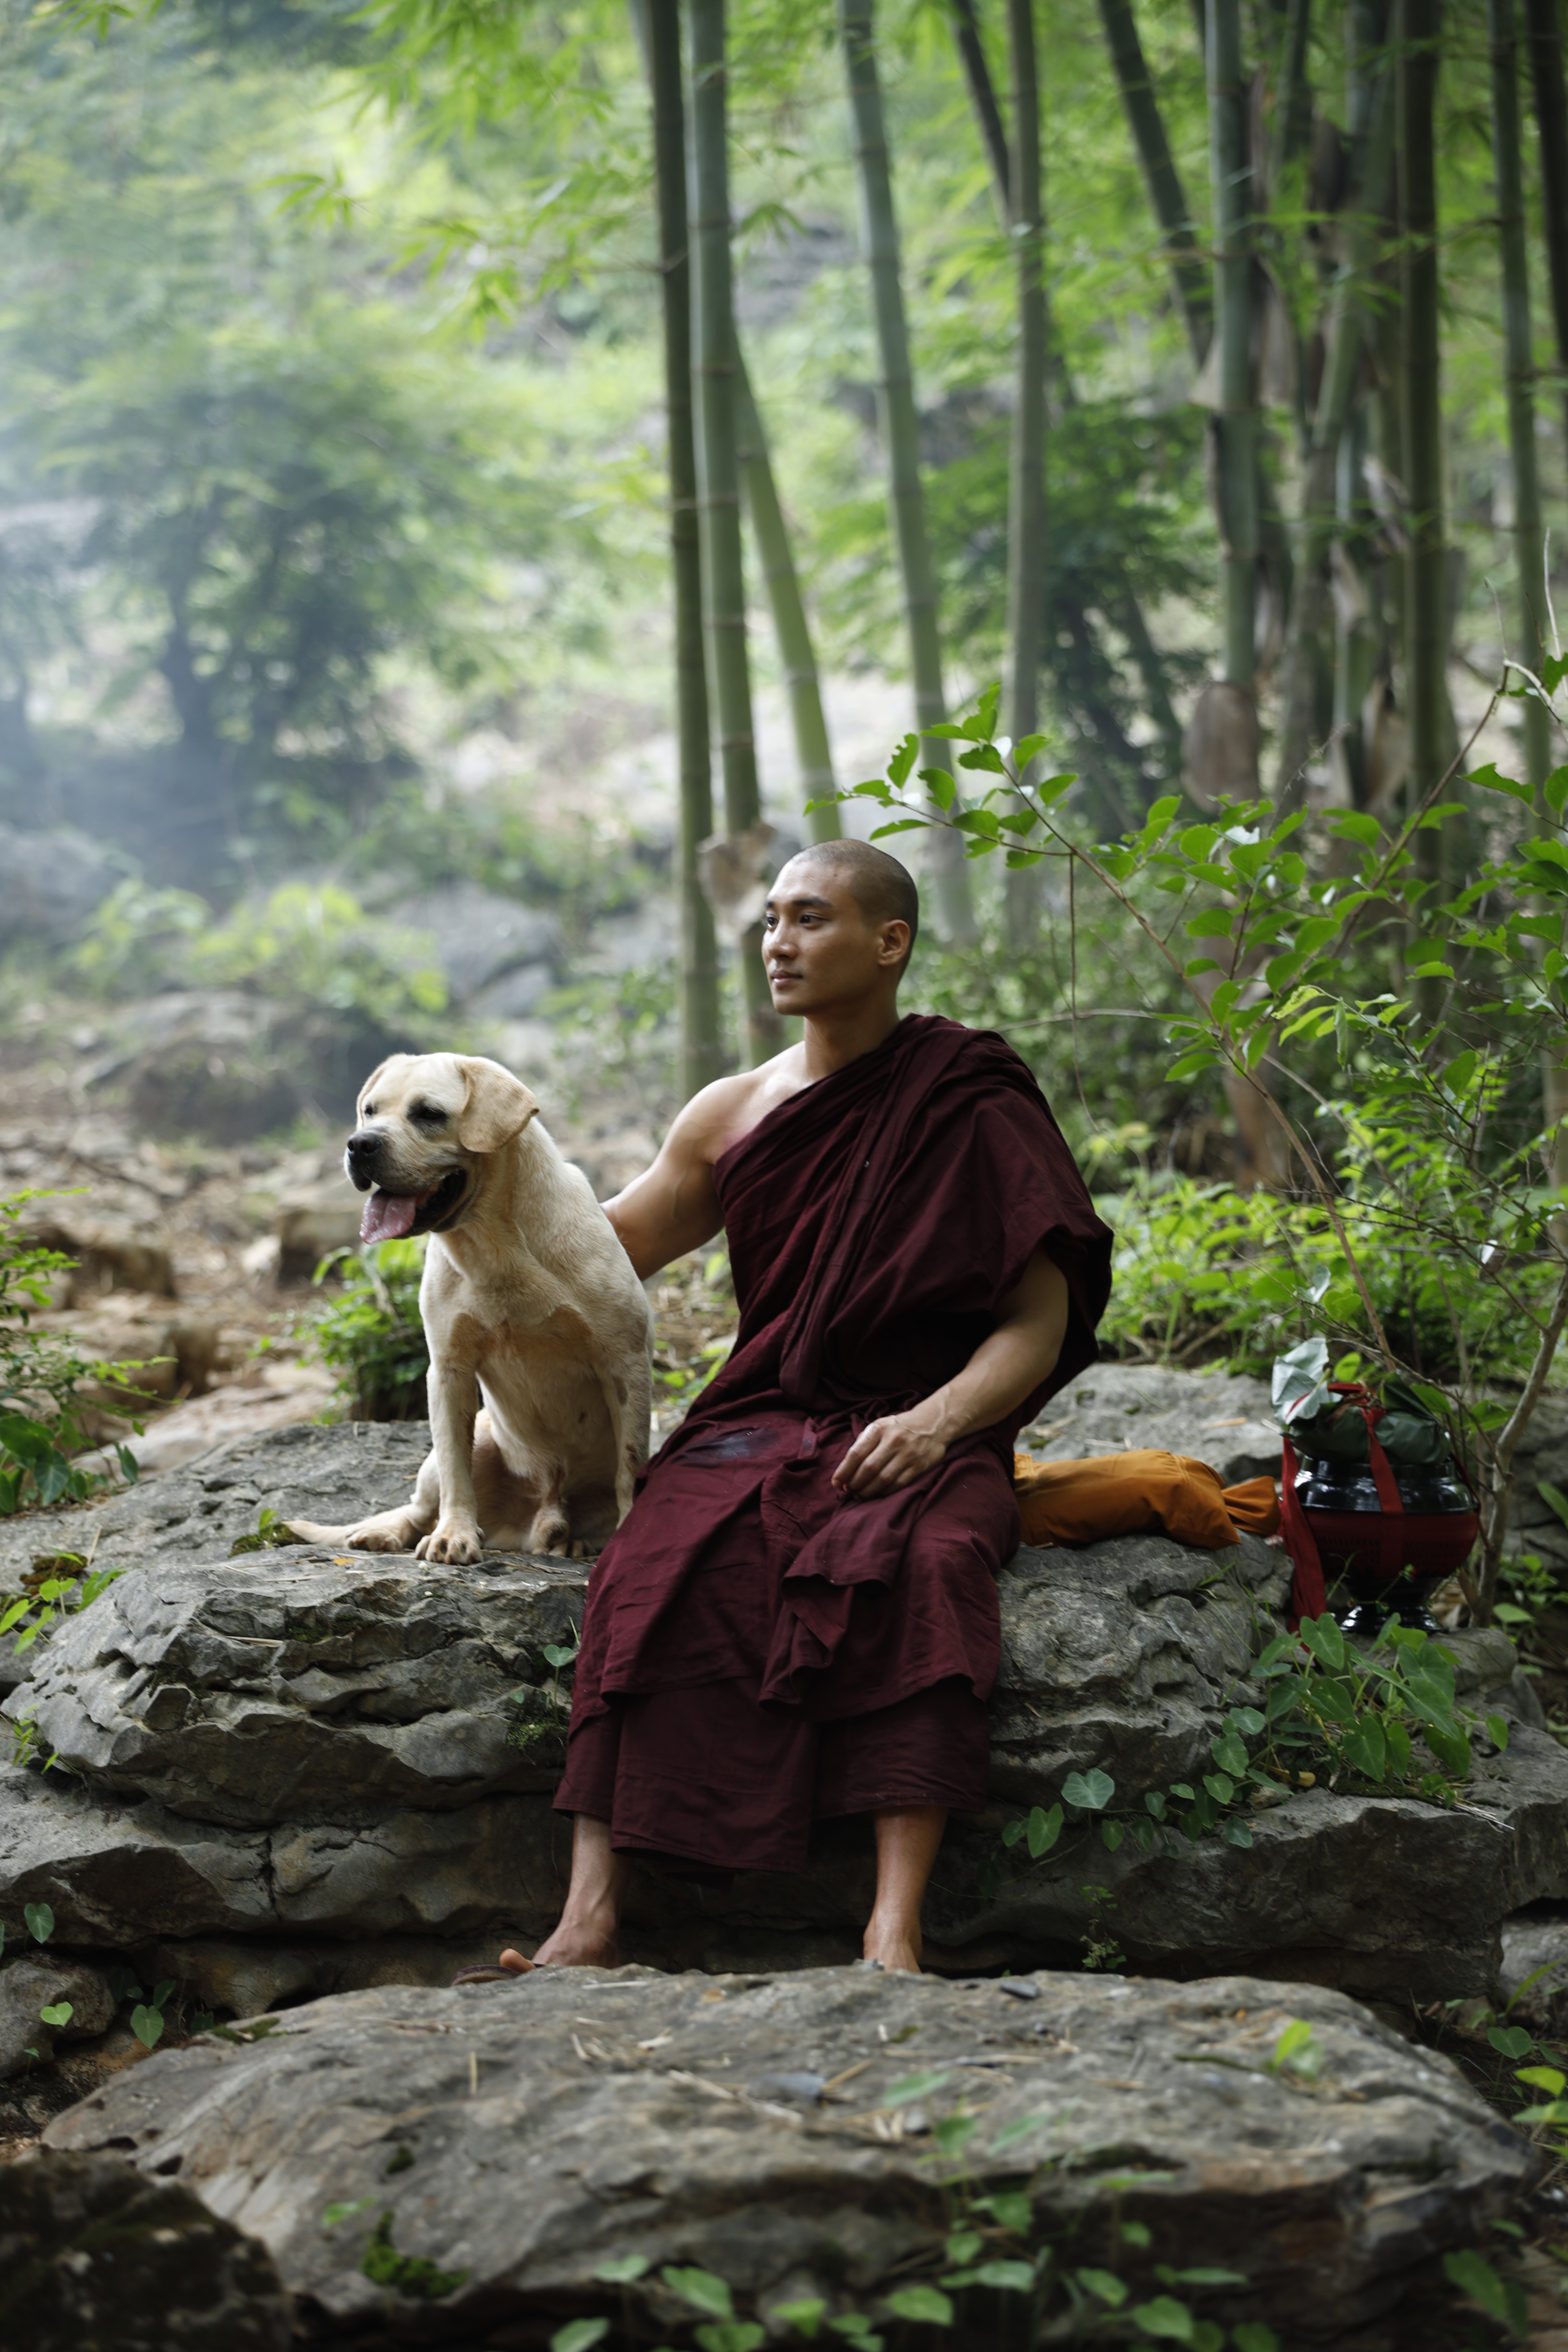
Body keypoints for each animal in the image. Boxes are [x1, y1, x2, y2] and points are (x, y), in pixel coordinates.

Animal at [291, 1054, 653, 1562]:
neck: (494, 1247)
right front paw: (454, 1536)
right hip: (468, 1442)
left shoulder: (625, 1366)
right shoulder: (449, 1372)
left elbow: (630, 1466)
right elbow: (455, 1473)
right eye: (369, 1111)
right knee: (419, 1507)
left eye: (428, 1113)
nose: (360, 1144)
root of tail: (540, 1517)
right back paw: (384, 1534)